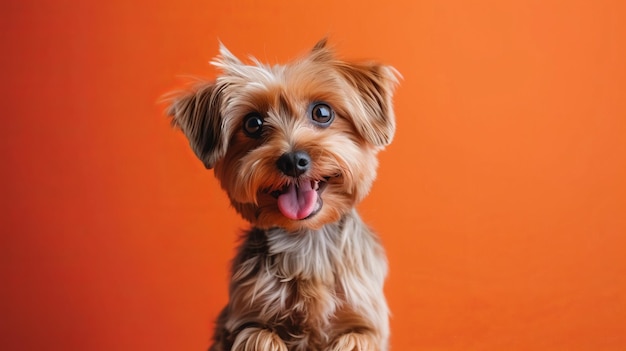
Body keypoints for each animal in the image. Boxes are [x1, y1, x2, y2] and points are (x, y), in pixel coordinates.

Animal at [166, 39, 400, 351]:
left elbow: (357, 338)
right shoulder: (246, 319)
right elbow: (261, 336)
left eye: (322, 113)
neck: (306, 239)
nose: (292, 160)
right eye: (253, 123)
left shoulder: (365, 320)